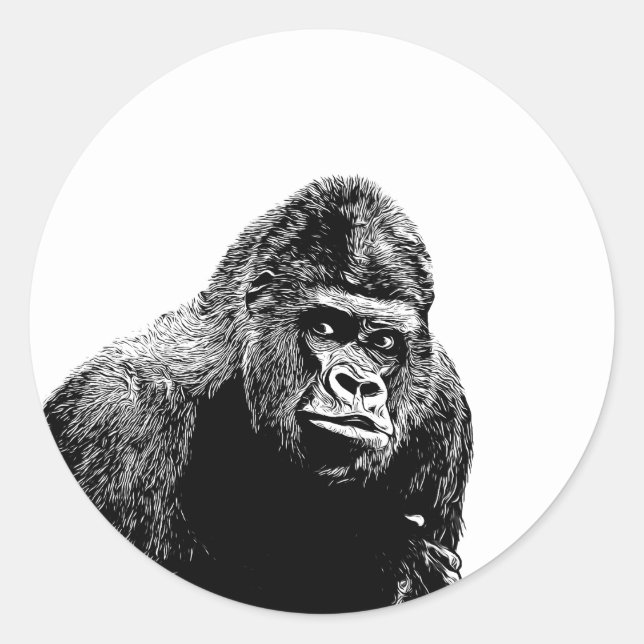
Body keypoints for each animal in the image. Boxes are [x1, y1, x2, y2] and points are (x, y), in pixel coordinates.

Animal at [44, 176, 473, 613]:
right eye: (324, 328)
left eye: (384, 342)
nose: (358, 383)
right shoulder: (115, 415)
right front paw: (386, 552)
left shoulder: (443, 404)